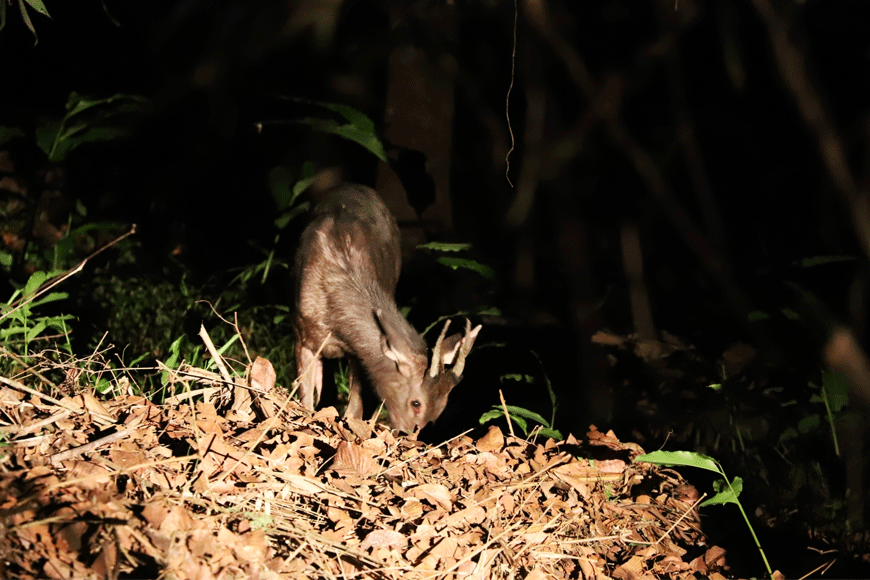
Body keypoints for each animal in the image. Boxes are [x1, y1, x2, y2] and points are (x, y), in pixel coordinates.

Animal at [294, 184, 484, 432]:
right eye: (416, 403)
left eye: (440, 409)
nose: (408, 435)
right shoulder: (301, 333)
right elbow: (305, 397)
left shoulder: (356, 353)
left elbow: (355, 407)